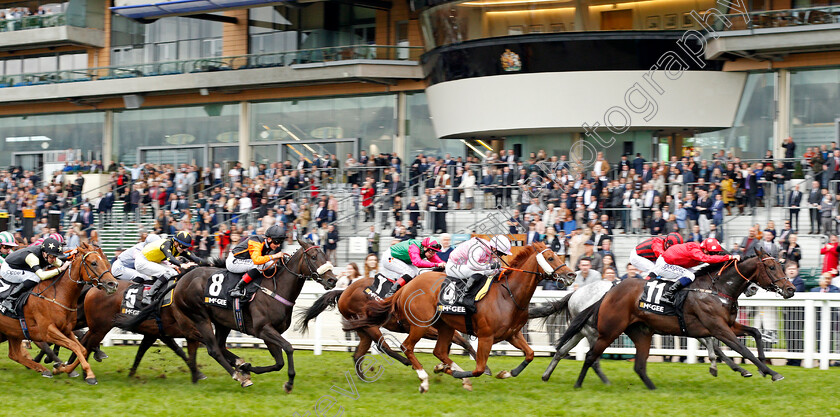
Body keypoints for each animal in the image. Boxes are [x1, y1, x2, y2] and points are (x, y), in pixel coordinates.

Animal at [0, 244, 119, 384]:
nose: (113, 284)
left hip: (11, 332)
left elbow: (82, 349)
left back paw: (43, 369)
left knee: (14, 355)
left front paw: (62, 368)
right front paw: (89, 374)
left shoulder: (66, 330)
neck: (56, 295)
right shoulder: (48, 331)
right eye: (94, 263)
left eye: (106, 263)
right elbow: (74, 346)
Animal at [115, 236, 338, 388]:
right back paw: (238, 376)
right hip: (199, 317)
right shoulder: (263, 329)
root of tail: (182, 279)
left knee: (219, 346)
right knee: (213, 349)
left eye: (326, 255)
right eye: (313, 256)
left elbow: (279, 362)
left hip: (222, 322)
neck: (275, 288)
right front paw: (288, 382)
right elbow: (289, 349)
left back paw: (239, 366)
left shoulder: (269, 332)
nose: (332, 280)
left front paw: (248, 367)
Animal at [296, 274, 486, 388]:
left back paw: (363, 378)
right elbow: (454, 343)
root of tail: (344, 291)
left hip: (363, 329)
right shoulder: (427, 329)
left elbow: (462, 342)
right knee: (383, 346)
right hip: (370, 325)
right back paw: (407, 362)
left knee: (358, 353)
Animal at [344, 242, 576, 392]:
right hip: (420, 325)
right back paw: (424, 379)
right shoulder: (486, 337)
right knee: (405, 347)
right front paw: (457, 374)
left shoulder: (512, 334)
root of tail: (405, 288)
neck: (508, 295)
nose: (571, 275)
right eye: (550, 257)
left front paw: (504, 373)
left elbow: (530, 354)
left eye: (559, 255)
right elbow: (479, 368)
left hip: (443, 326)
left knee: (437, 351)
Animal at [556, 245, 796, 388]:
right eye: (771, 267)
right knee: (590, 356)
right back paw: (578, 385)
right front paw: (771, 372)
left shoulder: (728, 324)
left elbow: (755, 333)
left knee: (637, 364)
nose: (791, 289)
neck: (716, 288)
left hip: (639, 332)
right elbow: (742, 349)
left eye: (782, 265)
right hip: (608, 330)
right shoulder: (718, 328)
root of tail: (609, 291)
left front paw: (763, 365)